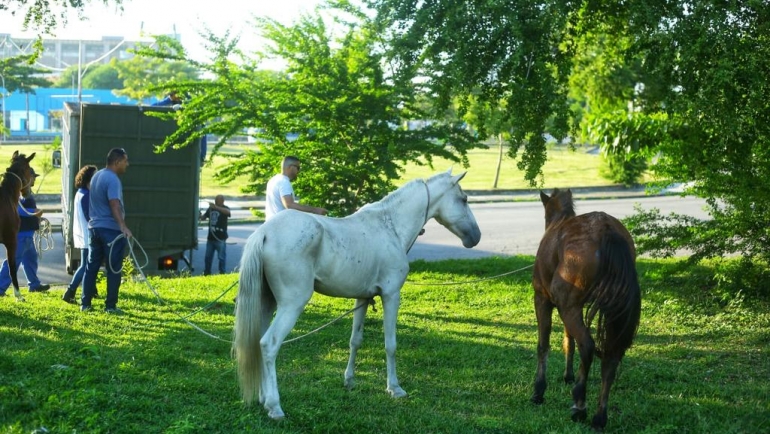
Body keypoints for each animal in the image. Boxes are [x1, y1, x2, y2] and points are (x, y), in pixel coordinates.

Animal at [232, 168, 480, 418]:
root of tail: (264, 232)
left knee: (257, 343)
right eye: (464, 199)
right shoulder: (391, 295)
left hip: (267, 303)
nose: (475, 237)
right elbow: (390, 344)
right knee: (269, 344)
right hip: (291, 305)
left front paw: (349, 381)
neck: (390, 226)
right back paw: (274, 406)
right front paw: (395, 388)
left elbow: (355, 341)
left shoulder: (363, 298)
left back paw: (263, 398)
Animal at [532, 189, 640, 430]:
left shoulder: (543, 300)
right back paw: (599, 417)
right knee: (610, 356)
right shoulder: (574, 306)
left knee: (588, 346)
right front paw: (568, 375)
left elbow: (543, 346)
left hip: (567, 306)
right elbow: (568, 341)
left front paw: (538, 391)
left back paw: (580, 404)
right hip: (605, 313)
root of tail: (607, 230)